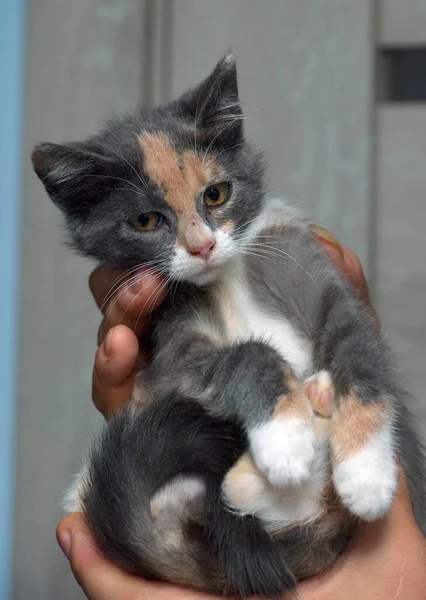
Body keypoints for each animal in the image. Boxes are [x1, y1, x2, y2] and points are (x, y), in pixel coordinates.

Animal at [30, 54, 426, 596]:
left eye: (216, 194)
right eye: (145, 221)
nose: (203, 247)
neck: (226, 278)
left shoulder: (314, 271)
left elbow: (358, 350)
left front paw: (366, 473)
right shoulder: (171, 350)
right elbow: (242, 355)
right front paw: (285, 437)